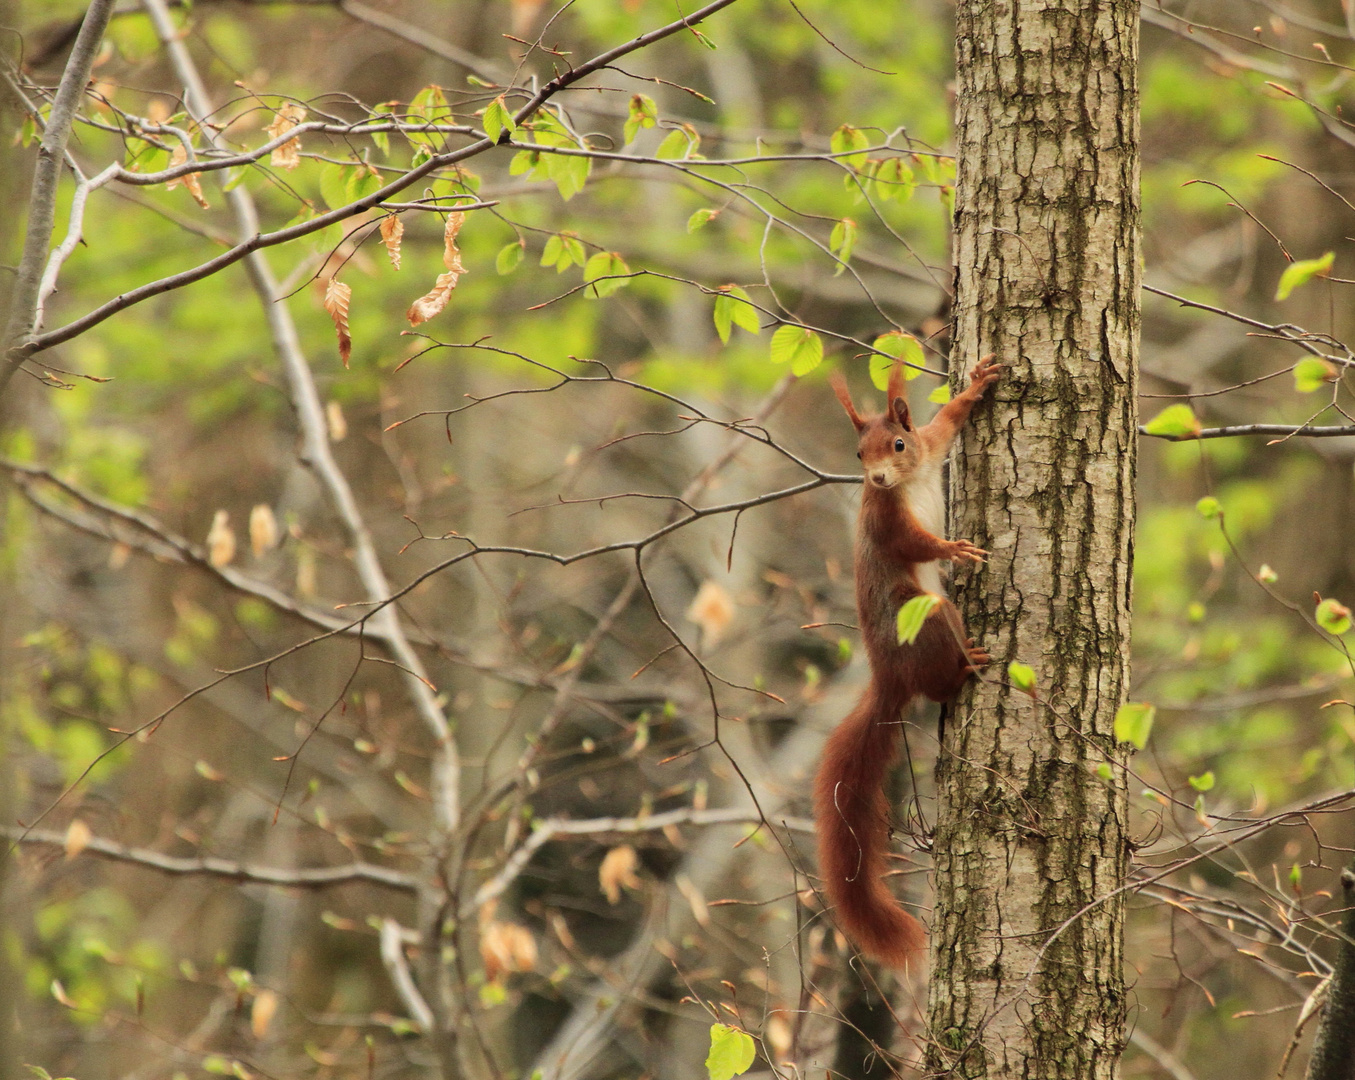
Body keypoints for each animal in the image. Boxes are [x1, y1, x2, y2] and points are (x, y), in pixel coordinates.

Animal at [807, 355, 1002, 970]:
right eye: (857, 455)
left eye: (897, 443)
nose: (876, 480)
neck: (909, 481)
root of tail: (888, 678)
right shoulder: (885, 522)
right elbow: (913, 545)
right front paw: (952, 550)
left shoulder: (932, 448)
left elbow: (946, 422)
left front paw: (977, 383)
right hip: (925, 617)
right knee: (937, 686)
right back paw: (965, 669)